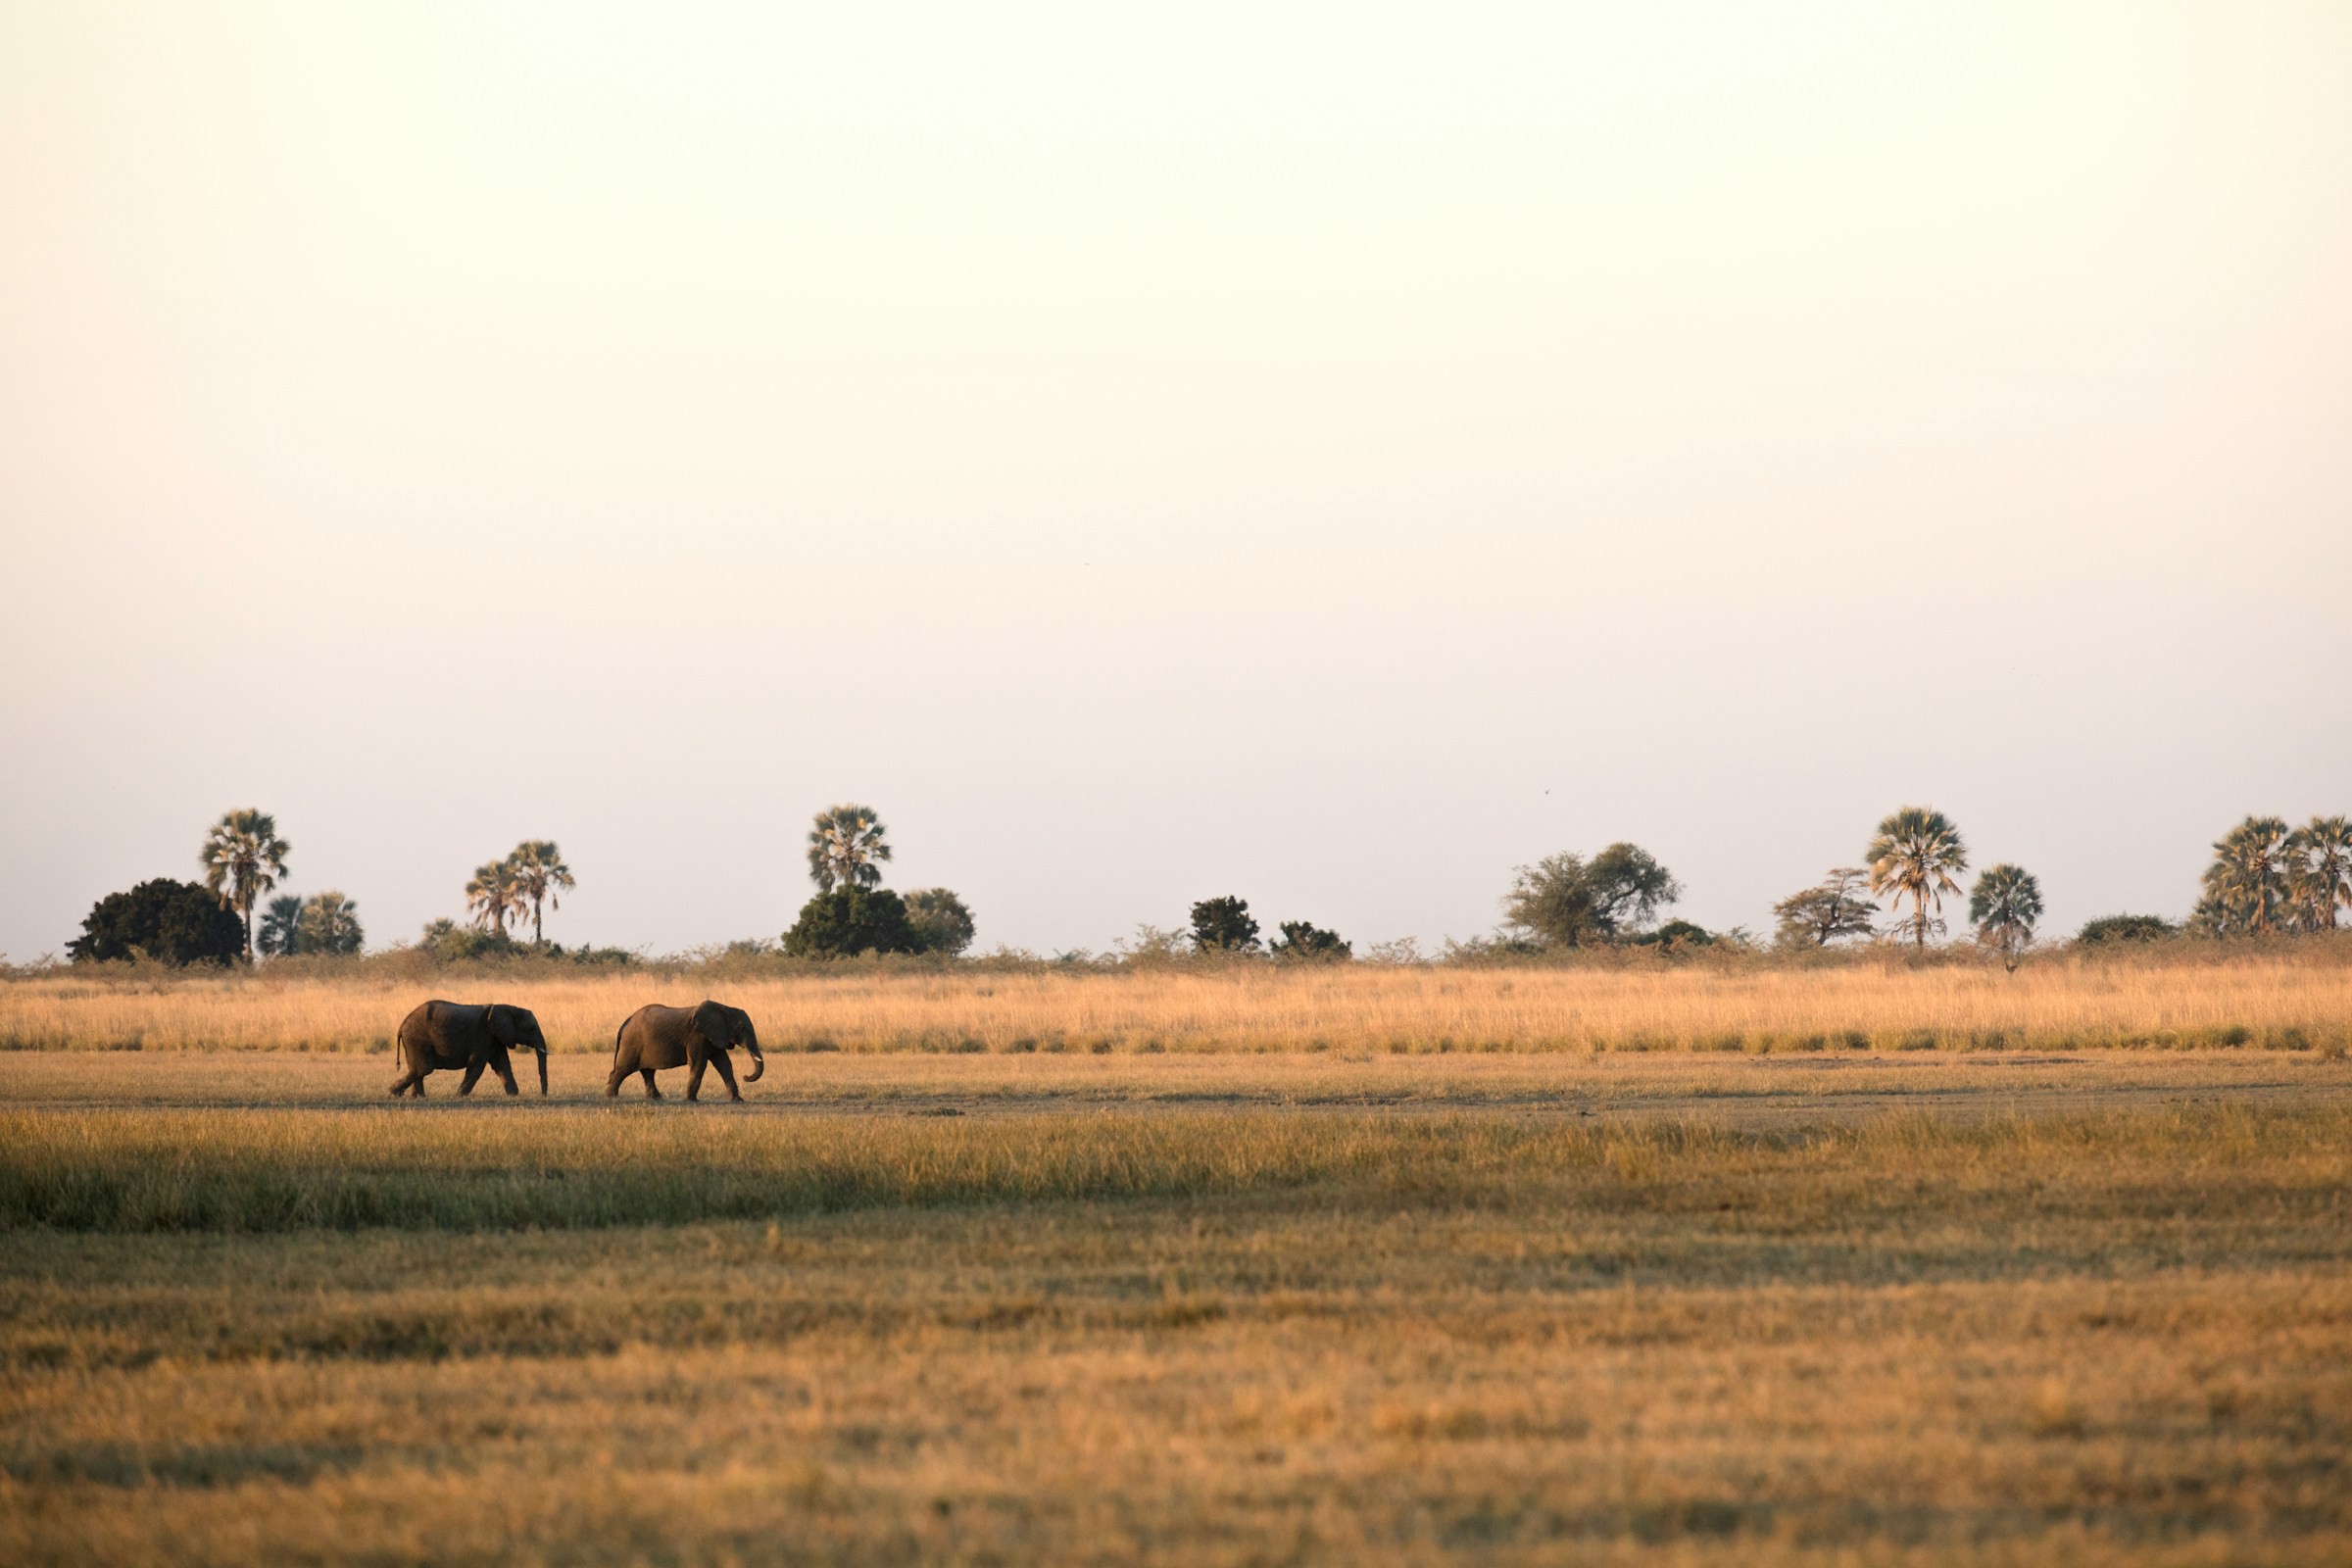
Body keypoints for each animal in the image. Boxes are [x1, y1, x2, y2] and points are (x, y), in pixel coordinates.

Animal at [388, 1001, 548, 1100]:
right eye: (531, 1028)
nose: (543, 1095)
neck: (507, 1007)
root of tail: (401, 1025)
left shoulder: (494, 1038)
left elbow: (502, 1064)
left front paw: (513, 1095)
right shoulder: (483, 1034)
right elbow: (476, 1065)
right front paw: (459, 1096)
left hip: (412, 1042)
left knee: (417, 1068)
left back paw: (417, 1097)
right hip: (417, 1038)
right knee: (424, 1068)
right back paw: (394, 1093)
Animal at [607, 1005, 761, 1104]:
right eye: (741, 1027)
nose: (745, 1076)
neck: (724, 1008)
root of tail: (626, 1022)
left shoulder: (716, 1036)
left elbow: (724, 1064)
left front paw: (738, 1100)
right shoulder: (696, 1036)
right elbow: (698, 1064)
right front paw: (691, 1101)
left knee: (648, 1072)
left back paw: (656, 1098)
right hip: (631, 1043)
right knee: (623, 1070)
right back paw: (611, 1097)